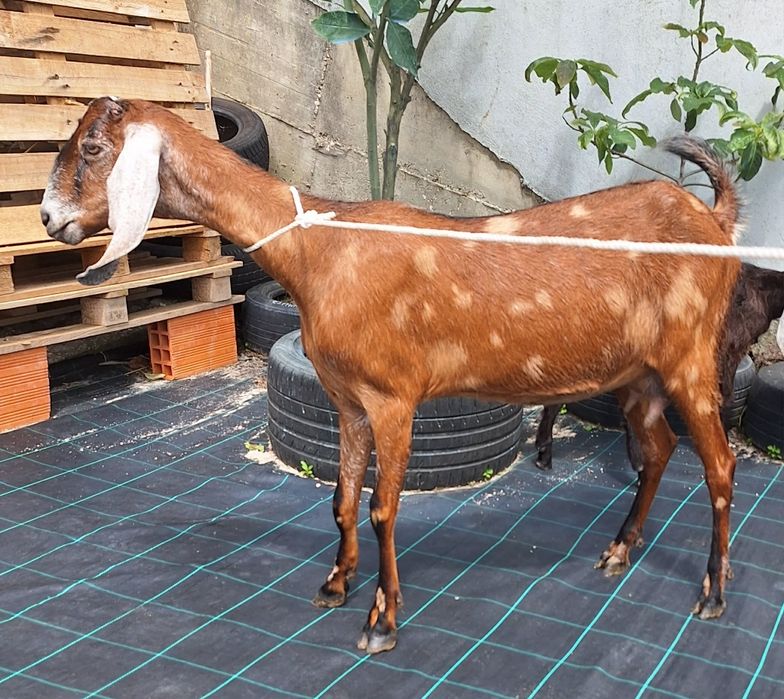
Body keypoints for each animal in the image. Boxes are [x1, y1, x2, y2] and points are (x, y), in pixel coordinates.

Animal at [41, 97, 741, 654]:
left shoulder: (394, 397)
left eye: (94, 147)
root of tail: (716, 221)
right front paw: (336, 583)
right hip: (639, 374)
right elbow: (342, 498)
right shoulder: (346, 399)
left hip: (691, 357)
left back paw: (713, 591)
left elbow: (382, 507)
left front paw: (382, 620)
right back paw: (620, 550)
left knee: (719, 465)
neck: (315, 250)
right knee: (659, 449)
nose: (48, 218)